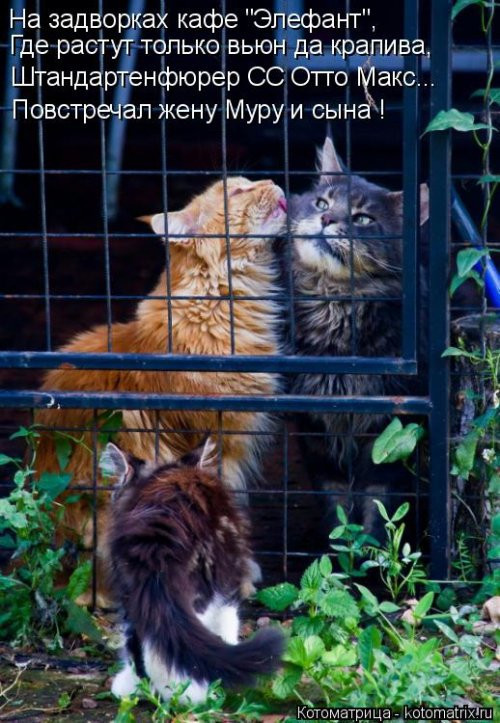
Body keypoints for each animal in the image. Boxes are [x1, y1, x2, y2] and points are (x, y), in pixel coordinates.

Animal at [33, 177, 287, 603]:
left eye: (250, 183)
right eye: (238, 192)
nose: (272, 181)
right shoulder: (220, 439)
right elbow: (227, 507)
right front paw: (239, 577)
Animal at [289, 134, 429, 536]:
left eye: (363, 219)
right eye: (322, 202)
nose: (325, 219)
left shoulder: (390, 430)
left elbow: (378, 505)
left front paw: (370, 551)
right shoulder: (315, 429)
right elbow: (335, 501)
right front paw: (339, 547)